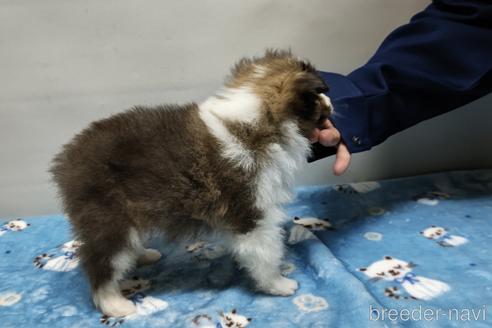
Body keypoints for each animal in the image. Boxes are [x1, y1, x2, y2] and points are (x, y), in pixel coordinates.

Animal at [50, 50, 332, 316]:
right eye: (319, 94)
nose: (331, 103)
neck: (257, 125)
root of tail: (66, 161)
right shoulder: (252, 214)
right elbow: (266, 253)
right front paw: (279, 284)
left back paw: (143, 255)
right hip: (109, 218)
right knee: (102, 263)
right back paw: (115, 304)